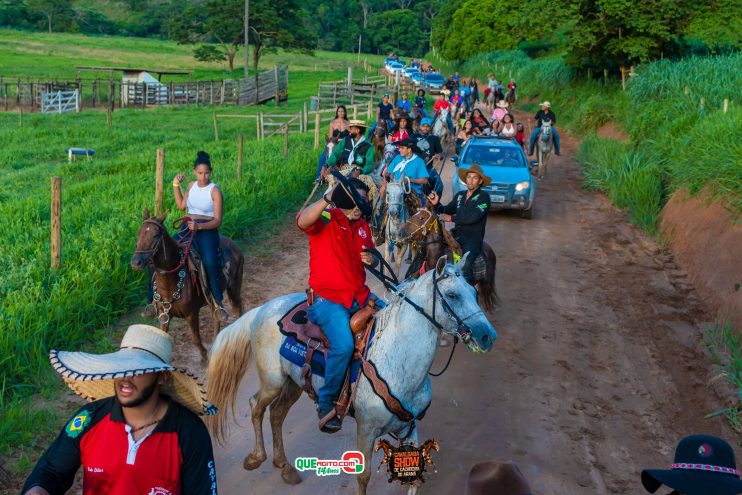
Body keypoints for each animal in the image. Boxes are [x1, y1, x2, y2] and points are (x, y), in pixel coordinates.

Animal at [132, 207, 247, 362]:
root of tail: (233, 244)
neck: (171, 283)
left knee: (239, 309)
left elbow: (196, 339)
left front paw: (204, 359)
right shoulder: (164, 315)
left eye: (155, 235)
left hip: (234, 287)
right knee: (216, 317)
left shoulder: (192, 314)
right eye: (139, 233)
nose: (136, 262)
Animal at [206, 256, 496, 495]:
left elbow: (413, 478)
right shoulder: (366, 429)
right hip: (273, 381)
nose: (487, 336)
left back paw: (285, 466)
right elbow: (363, 477)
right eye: (453, 295)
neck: (397, 361)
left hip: (294, 384)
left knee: (276, 415)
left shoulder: (409, 426)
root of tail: (262, 309)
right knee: (256, 406)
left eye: (473, 291)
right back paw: (256, 458)